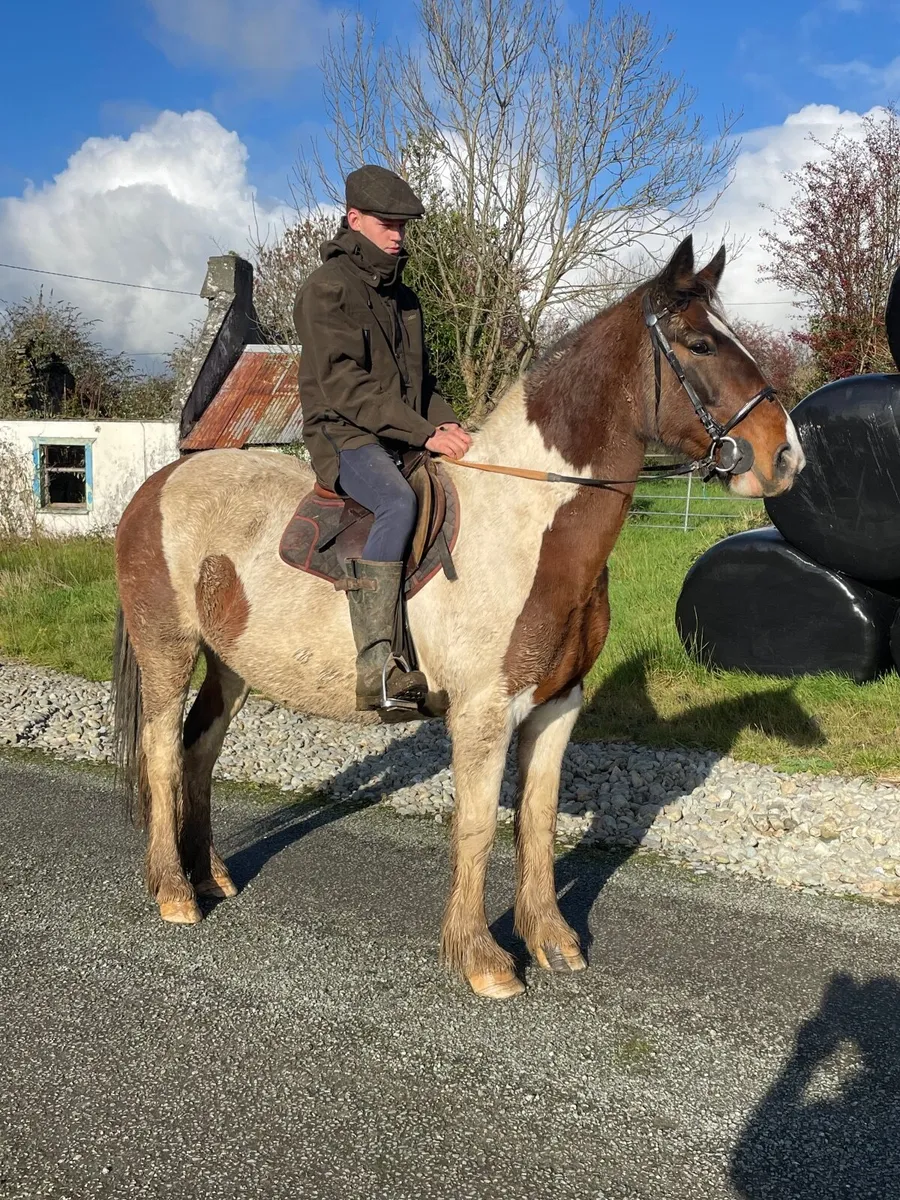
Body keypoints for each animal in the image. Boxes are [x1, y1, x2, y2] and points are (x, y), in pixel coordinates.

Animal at [112, 236, 805, 1000]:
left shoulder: (557, 706)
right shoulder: (483, 711)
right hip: (168, 650)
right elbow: (476, 828)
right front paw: (482, 958)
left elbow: (536, 823)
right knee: (163, 753)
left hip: (231, 664)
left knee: (200, 749)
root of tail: (155, 486)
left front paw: (551, 940)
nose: (786, 456)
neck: (528, 521)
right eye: (701, 344)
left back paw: (209, 875)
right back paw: (175, 892)